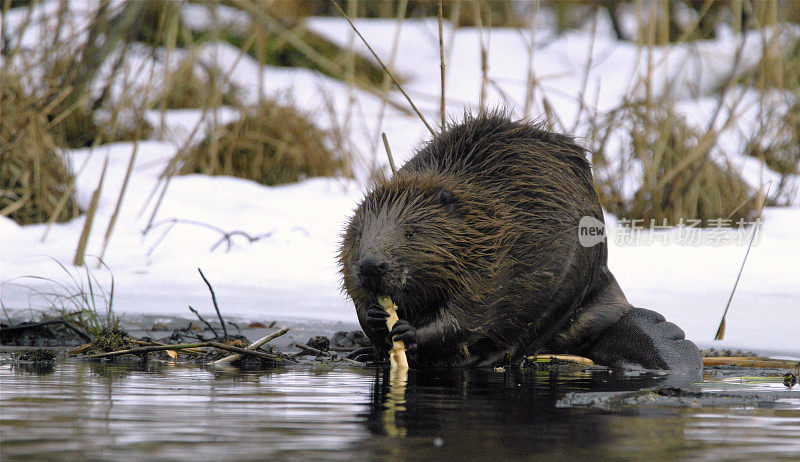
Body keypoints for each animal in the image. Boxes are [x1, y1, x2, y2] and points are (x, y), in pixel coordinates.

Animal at [340, 113, 704, 374]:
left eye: (411, 232)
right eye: (359, 234)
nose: (372, 265)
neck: (483, 217)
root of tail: (615, 308)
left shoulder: (490, 261)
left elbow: (467, 314)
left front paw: (408, 330)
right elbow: (357, 298)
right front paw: (375, 314)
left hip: (570, 283)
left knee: (524, 339)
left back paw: (482, 360)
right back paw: (362, 353)